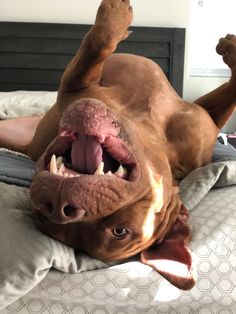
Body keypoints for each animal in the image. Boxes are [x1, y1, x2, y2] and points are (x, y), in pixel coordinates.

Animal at [0, 0, 236, 290]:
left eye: (120, 231)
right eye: (42, 216)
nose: (60, 207)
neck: (148, 126)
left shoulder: (203, 120)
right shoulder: (75, 87)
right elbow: (96, 43)